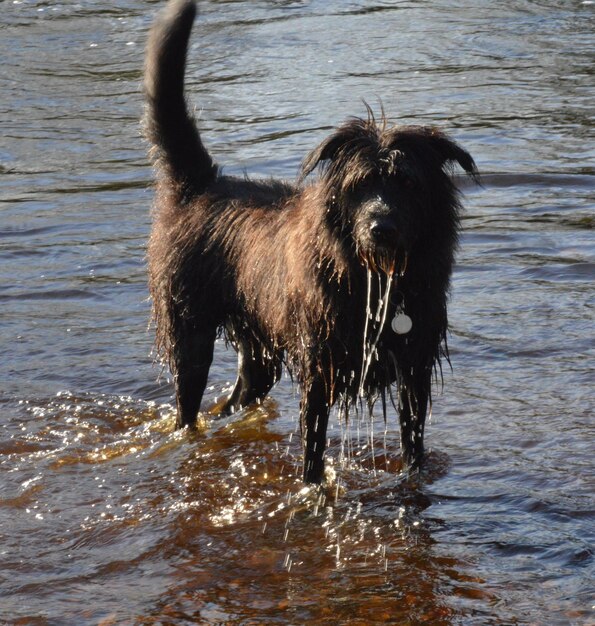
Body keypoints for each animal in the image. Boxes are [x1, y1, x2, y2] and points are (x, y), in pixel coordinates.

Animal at [144, 0, 480, 482]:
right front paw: (312, 489)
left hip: (258, 351)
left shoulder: (414, 369)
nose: (381, 228)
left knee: (235, 399)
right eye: (361, 184)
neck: (370, 282)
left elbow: (413, 443)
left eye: (407, 183)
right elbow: (313, 447)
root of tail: (201, 185)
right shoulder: (320, 368)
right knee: (188, 406)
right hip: (188, 330)